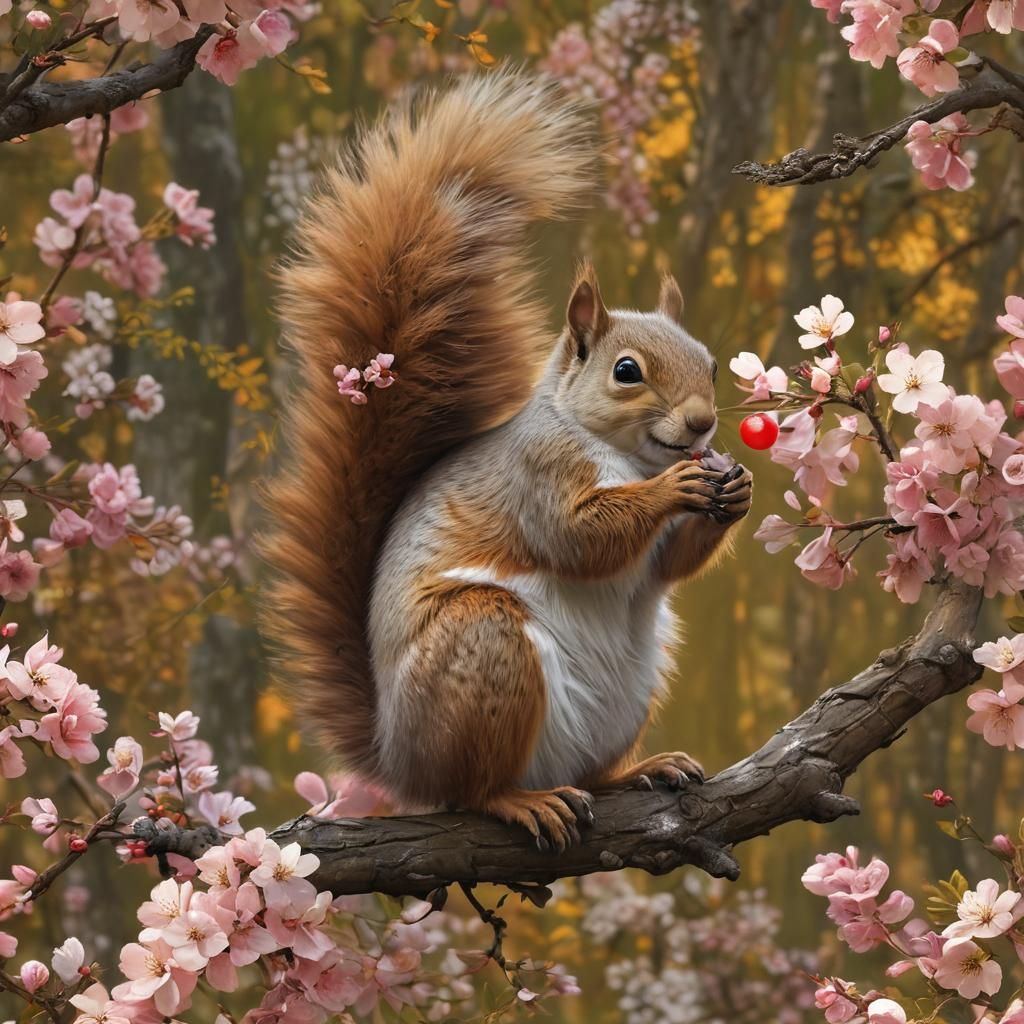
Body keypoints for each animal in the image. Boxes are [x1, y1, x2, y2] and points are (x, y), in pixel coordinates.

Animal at [261, 71, 753, 851]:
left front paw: (736, 491)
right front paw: (677, 487)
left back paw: (637, 771)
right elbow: (578, 537)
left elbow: (668, 565)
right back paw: (520, 800)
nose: (703, 424)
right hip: (483, 646)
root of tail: (400, 759)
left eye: (709, 364)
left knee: (591, 773)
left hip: (629, 691)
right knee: (472, 790)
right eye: (626, 372)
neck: (626, 458)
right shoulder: (537, 475)